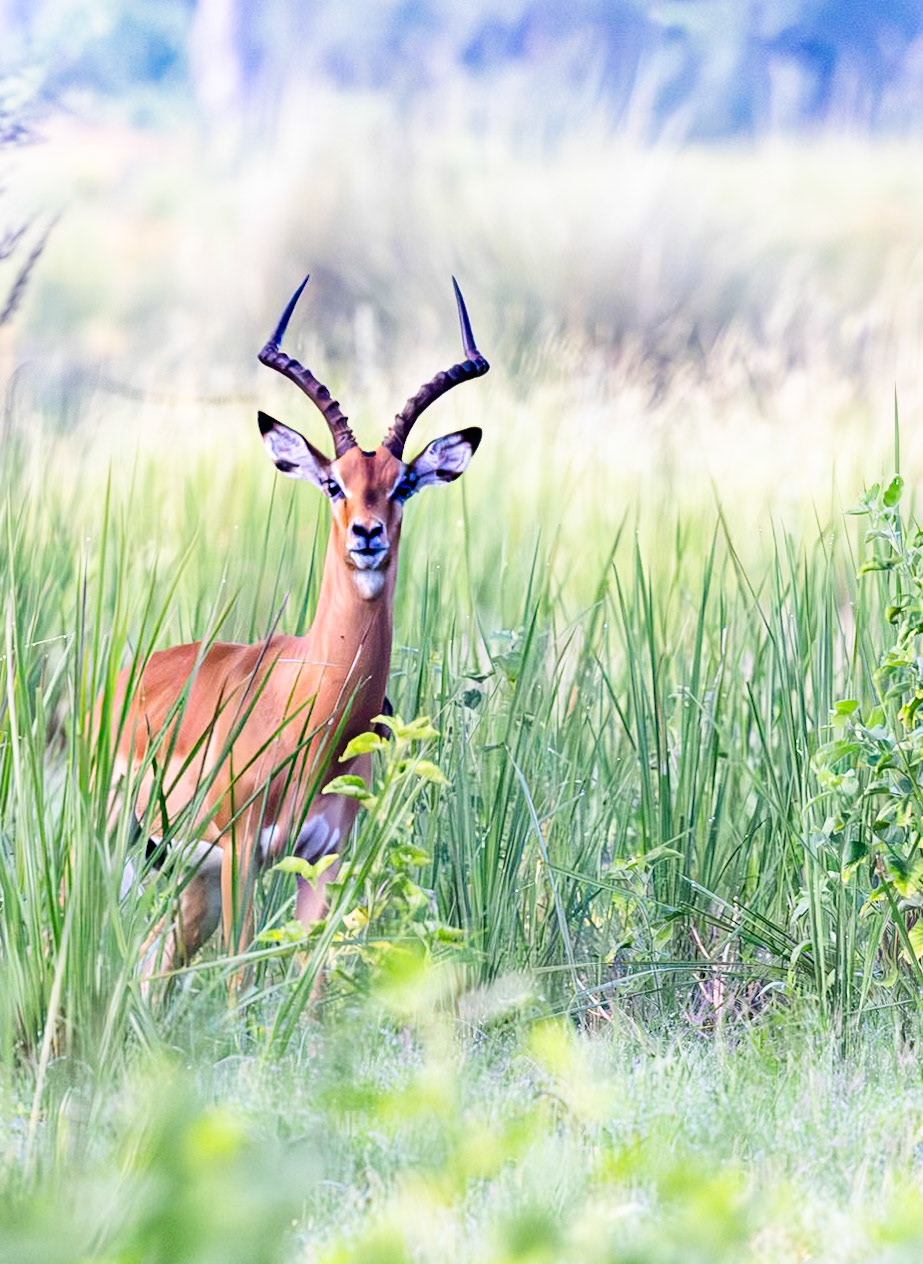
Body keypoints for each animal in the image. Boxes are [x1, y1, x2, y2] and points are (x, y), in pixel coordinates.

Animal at [109, 275, 488, 984]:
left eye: (402, 484)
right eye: (334, 483)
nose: (367, 535)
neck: (311, 701)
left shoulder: (324, 859)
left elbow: (309, 981)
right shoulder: (241, 855)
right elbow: (239, 976)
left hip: (185, 881)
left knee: (152, 967)